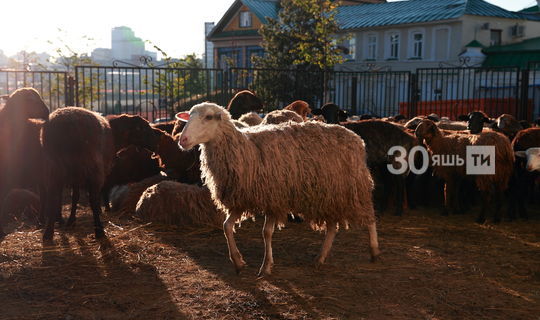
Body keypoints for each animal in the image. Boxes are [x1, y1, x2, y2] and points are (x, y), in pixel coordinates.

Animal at [178, 103, 380, 278]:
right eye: (189, 116)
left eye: (208, 117)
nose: (182, 140)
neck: (244, 149)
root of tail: (354, 136)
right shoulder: (241, 199)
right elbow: (226, 226)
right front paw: (238, 262)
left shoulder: (273, 199)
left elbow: (266, 233)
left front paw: (266, 266)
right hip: (329, 194)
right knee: (332, 227)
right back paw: (320, 258)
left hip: (355, 187)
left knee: (370, 218)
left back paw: (374, 251)